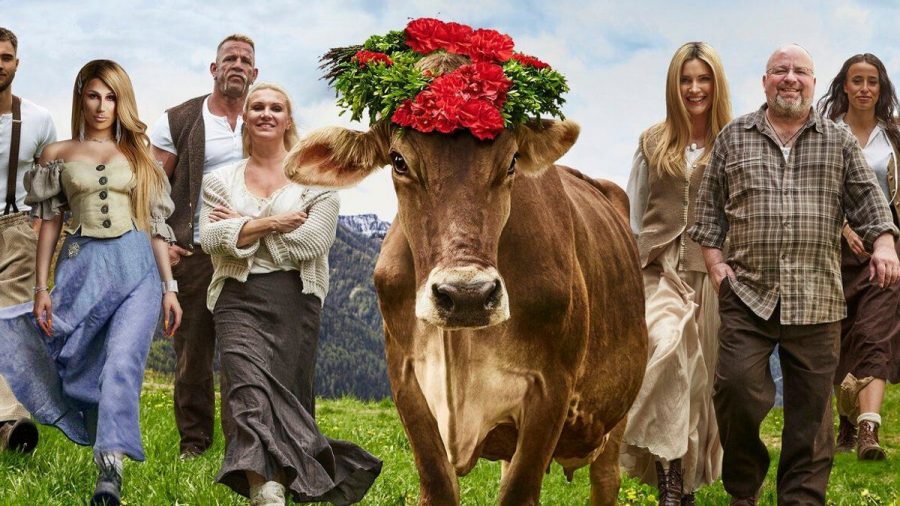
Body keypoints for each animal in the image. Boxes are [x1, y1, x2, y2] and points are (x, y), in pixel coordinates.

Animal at [288, 79, 648, 506]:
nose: (467, 295)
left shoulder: (551, 388)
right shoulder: (406, 381)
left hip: (617, 411)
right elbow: (439, 485)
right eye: (398, 161)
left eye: (512, 161)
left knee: (606, 478)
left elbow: (519, 492)